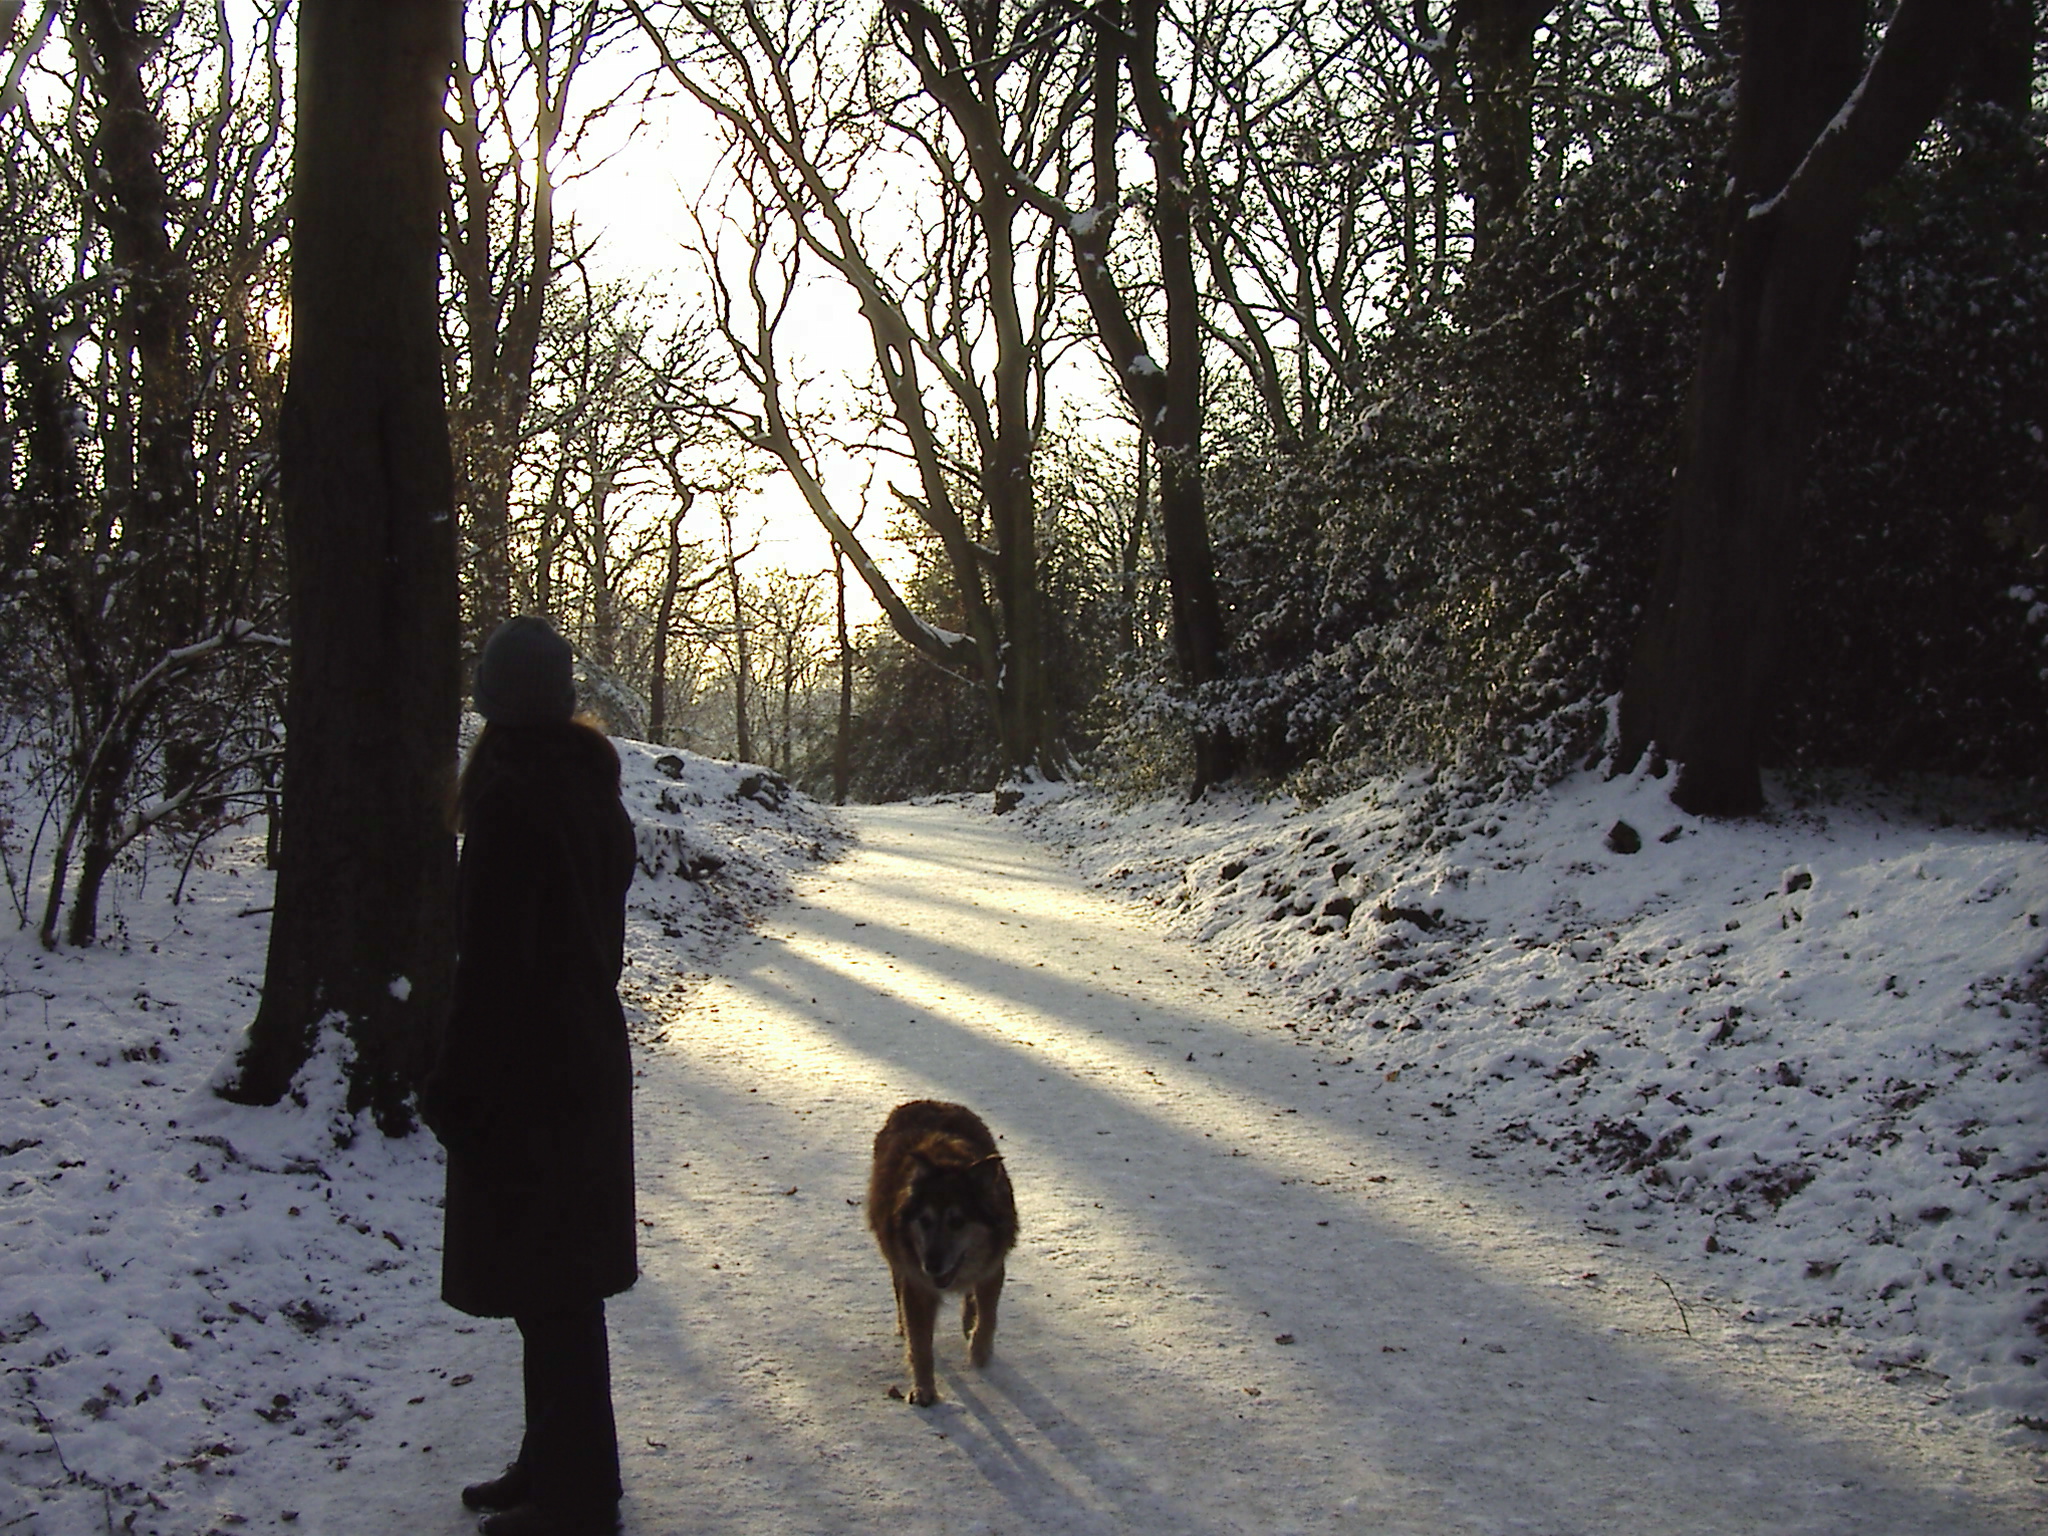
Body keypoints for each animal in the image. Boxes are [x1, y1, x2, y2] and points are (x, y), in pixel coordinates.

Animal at [868, 1105, 1019, 1409]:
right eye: (924, 1221)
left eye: (957, 1221)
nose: (931, 1265)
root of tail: (920, 1101)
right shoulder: (916, 1283)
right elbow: (921, 1344)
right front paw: (924, 1389)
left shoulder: (992, 1269)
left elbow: (988, 1316)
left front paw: (979, 1353)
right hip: (895, 1256)